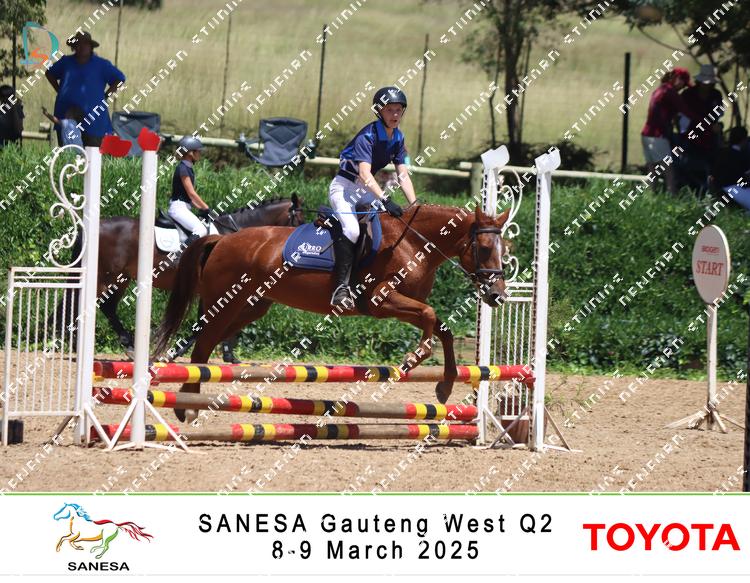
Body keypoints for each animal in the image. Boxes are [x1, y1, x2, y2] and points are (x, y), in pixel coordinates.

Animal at [66, 195, 304, 362]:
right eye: (300, 220)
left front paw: (227, 355)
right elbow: (204, 324)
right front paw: (176, 352)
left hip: (121, 278)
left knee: (105, 307)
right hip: (108, 277)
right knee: (94, 305)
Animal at [155, 204, 510, 422]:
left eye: (505, 250)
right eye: (485, 249)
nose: (497, 295)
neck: (413, 242)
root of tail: (220, 239)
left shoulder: (399, 305)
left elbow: (442, 327)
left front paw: (444, 386)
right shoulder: (381, 300)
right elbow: (431, 316)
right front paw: (412, 360)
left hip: (250, 308)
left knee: (205, 345)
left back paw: (187, 402)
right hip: (226, 303)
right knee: (203, 346)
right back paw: (187, 407)